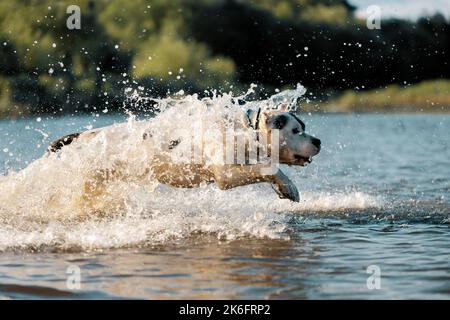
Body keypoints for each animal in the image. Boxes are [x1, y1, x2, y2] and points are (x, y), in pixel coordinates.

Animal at [48, 104, 320, 202]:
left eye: (304, 127)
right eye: (296, 130)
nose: (318, 140)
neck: (244, 129)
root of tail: (85, 136)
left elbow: (266, 169)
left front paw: (284, 189)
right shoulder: (226, 175)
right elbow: (271, 170)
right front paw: (289, 186)